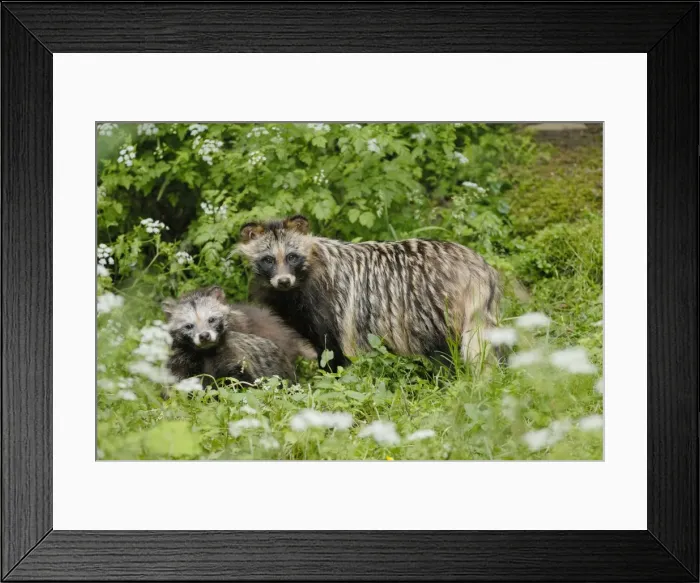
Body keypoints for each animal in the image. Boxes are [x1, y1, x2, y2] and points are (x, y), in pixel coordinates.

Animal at [237, 215, 501, 372]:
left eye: (292, 257)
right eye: (268, 259)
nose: (283, 281)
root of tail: (477, 266)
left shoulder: (329, 306)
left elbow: (333, 353)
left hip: (435, 308)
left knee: (446, 351)